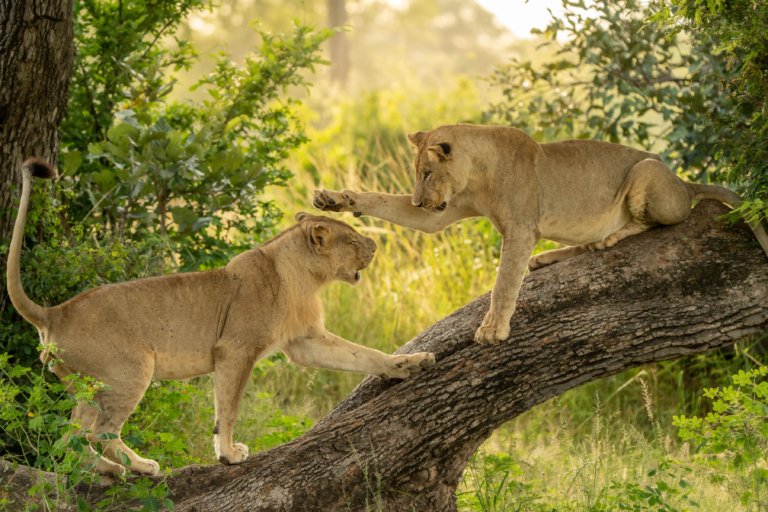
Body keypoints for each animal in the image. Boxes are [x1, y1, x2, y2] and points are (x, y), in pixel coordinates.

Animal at [7, 158, 435, 476]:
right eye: (351, 237)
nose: (376, 244)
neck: (304, 277)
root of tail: (55, 312)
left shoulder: (305, 342)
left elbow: (362, 355)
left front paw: (407, 364)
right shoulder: (234, 349)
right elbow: (227, 408)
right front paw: (228, 454)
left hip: (85, 385)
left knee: (70, 436)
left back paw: (104, 470)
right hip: (131, 369)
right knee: (100, 432)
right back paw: (139, 467)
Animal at [314, 124, 768, 345]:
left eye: (427, 172)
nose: (420, 199)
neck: (477, 173)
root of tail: (684, 183)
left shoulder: (519, 229)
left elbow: (504, 284)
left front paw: (492, 331)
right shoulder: (441, 216)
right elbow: (381, 202)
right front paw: (336, 198)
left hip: (647, 171)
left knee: (658, 221)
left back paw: (608, 239)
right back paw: (554, 256)